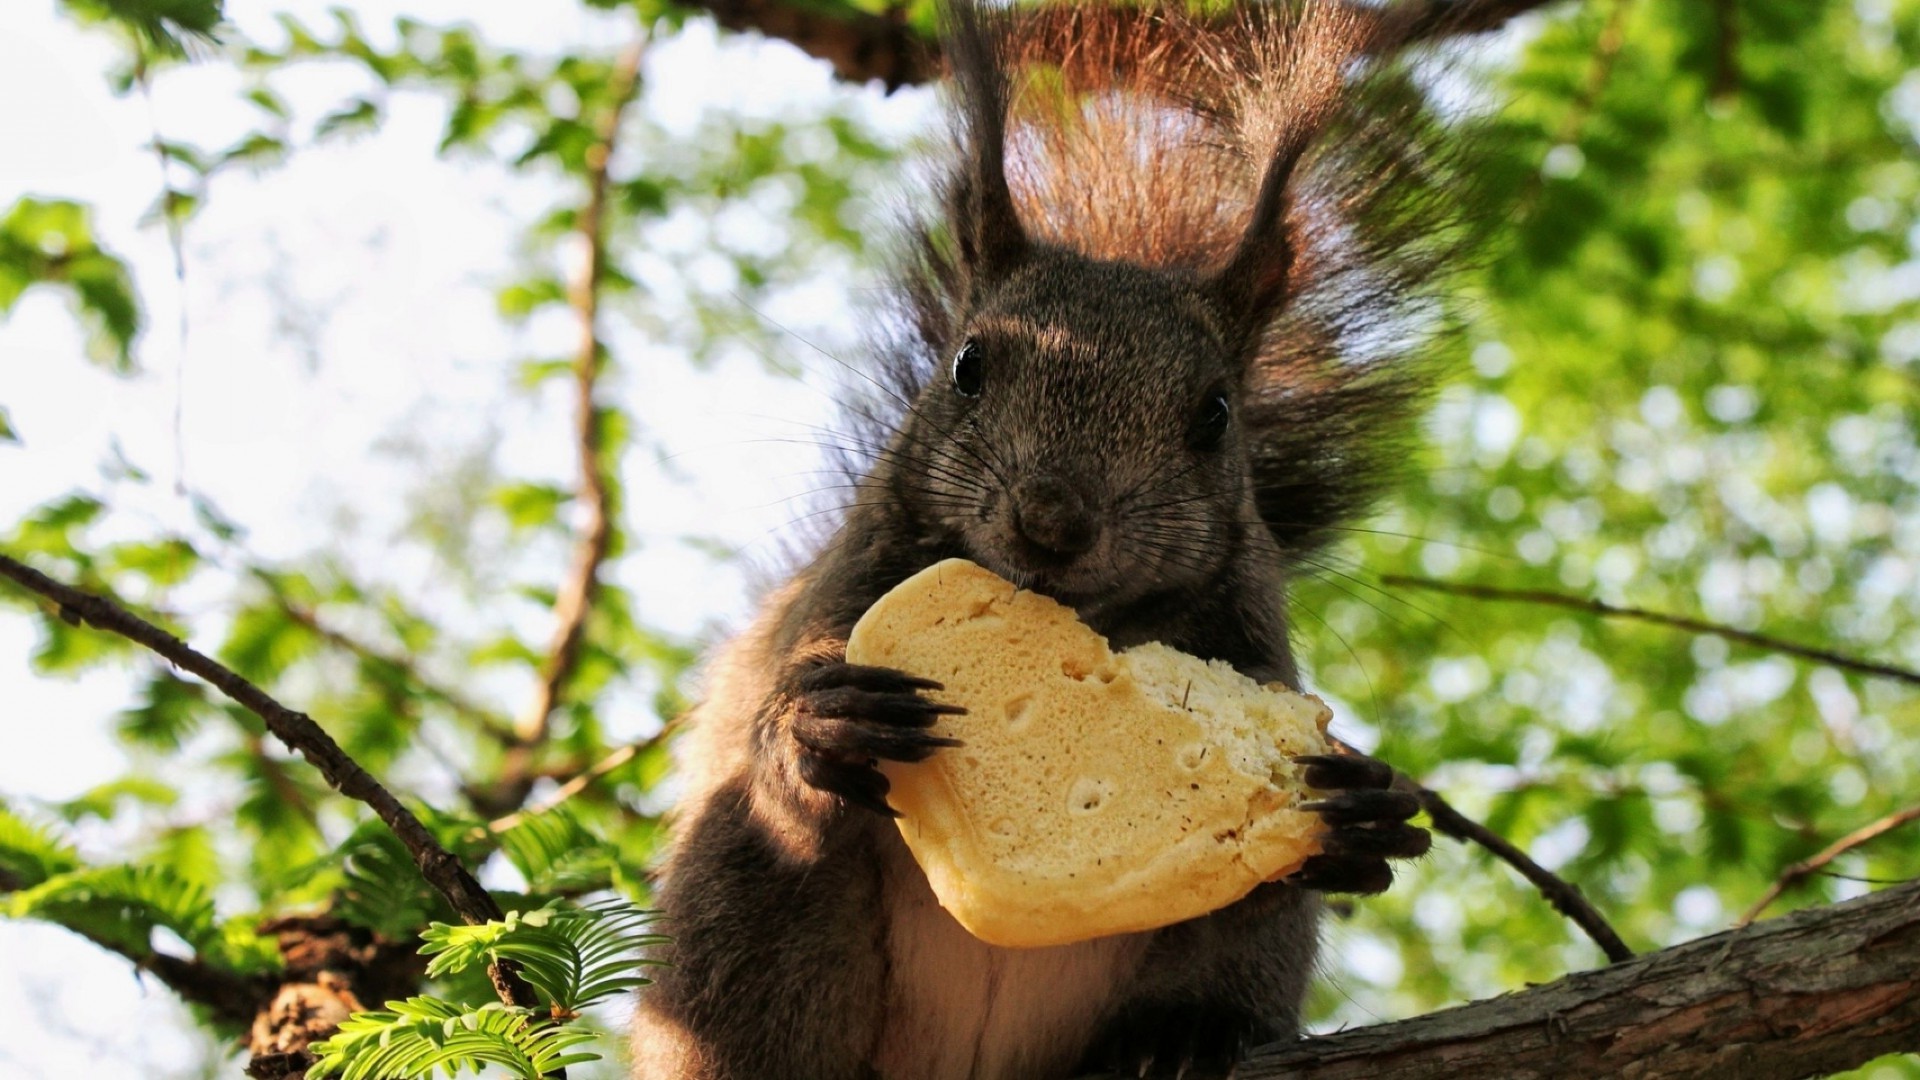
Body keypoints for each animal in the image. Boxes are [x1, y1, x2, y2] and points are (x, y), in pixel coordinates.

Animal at [637, 4, 1474, 1068]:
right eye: (967, 365)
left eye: (1216, 416)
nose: (1054, 521)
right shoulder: (845, 592)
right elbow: (778, 717)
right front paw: (821, 718)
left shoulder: (1254, 646)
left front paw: (1367, 812)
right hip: (743, 911)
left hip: (1241, 956)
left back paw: (1182, 1038)